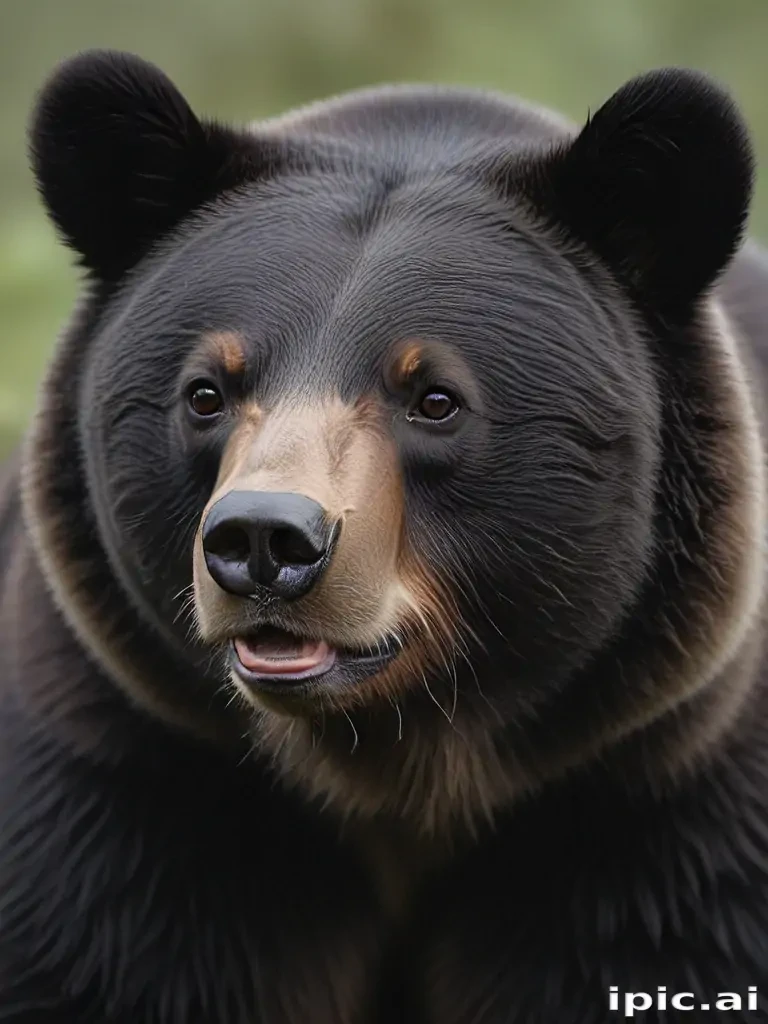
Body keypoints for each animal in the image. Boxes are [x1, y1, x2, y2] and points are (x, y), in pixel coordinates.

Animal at [1, 45, 768, 1022]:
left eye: (434, 398)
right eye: (207, 390)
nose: (265, 541)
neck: (397, 767)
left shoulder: (655, 796)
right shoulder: (137, 773)